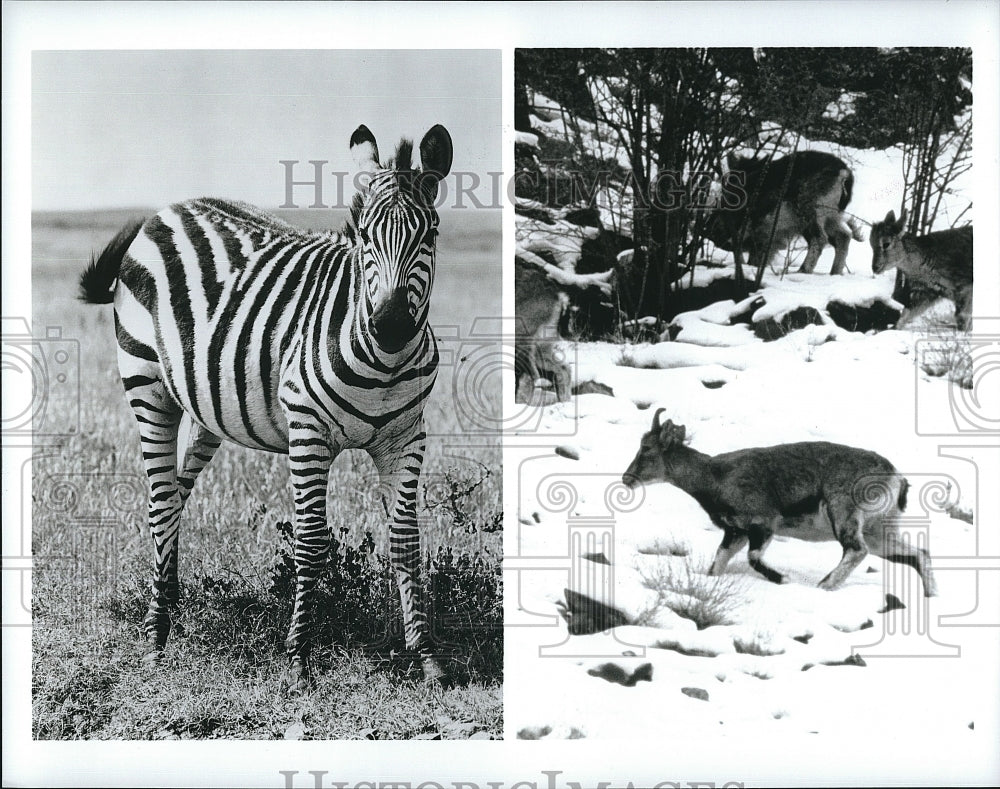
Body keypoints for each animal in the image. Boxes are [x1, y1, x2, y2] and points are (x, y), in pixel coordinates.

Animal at [80, 124, 456, 688]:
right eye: (364, 238)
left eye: (429, 236)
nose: (390, 326)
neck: (384, 364)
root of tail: (164, 212)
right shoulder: (307, 430)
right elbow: (311, 543)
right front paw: (299, 657)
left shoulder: (406, 435)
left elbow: (407, 541)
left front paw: (427, 656)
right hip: (148, 386)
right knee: (160, 502)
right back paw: (155, 635)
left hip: (208, 410)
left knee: (177, 497)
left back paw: (169, 604)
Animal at [620, 412, 940, 596]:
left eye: (646, 448)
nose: (627, 478)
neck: (716, 477)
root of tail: (896, 477)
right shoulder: (735, 532)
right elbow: (717, 563)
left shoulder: (762, 523)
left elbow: (753, 558)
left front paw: (783, 579)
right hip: (879, 531)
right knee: (918, 553)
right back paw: (931, 594)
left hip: (843, 514)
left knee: (856, 550)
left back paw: (824, 585)